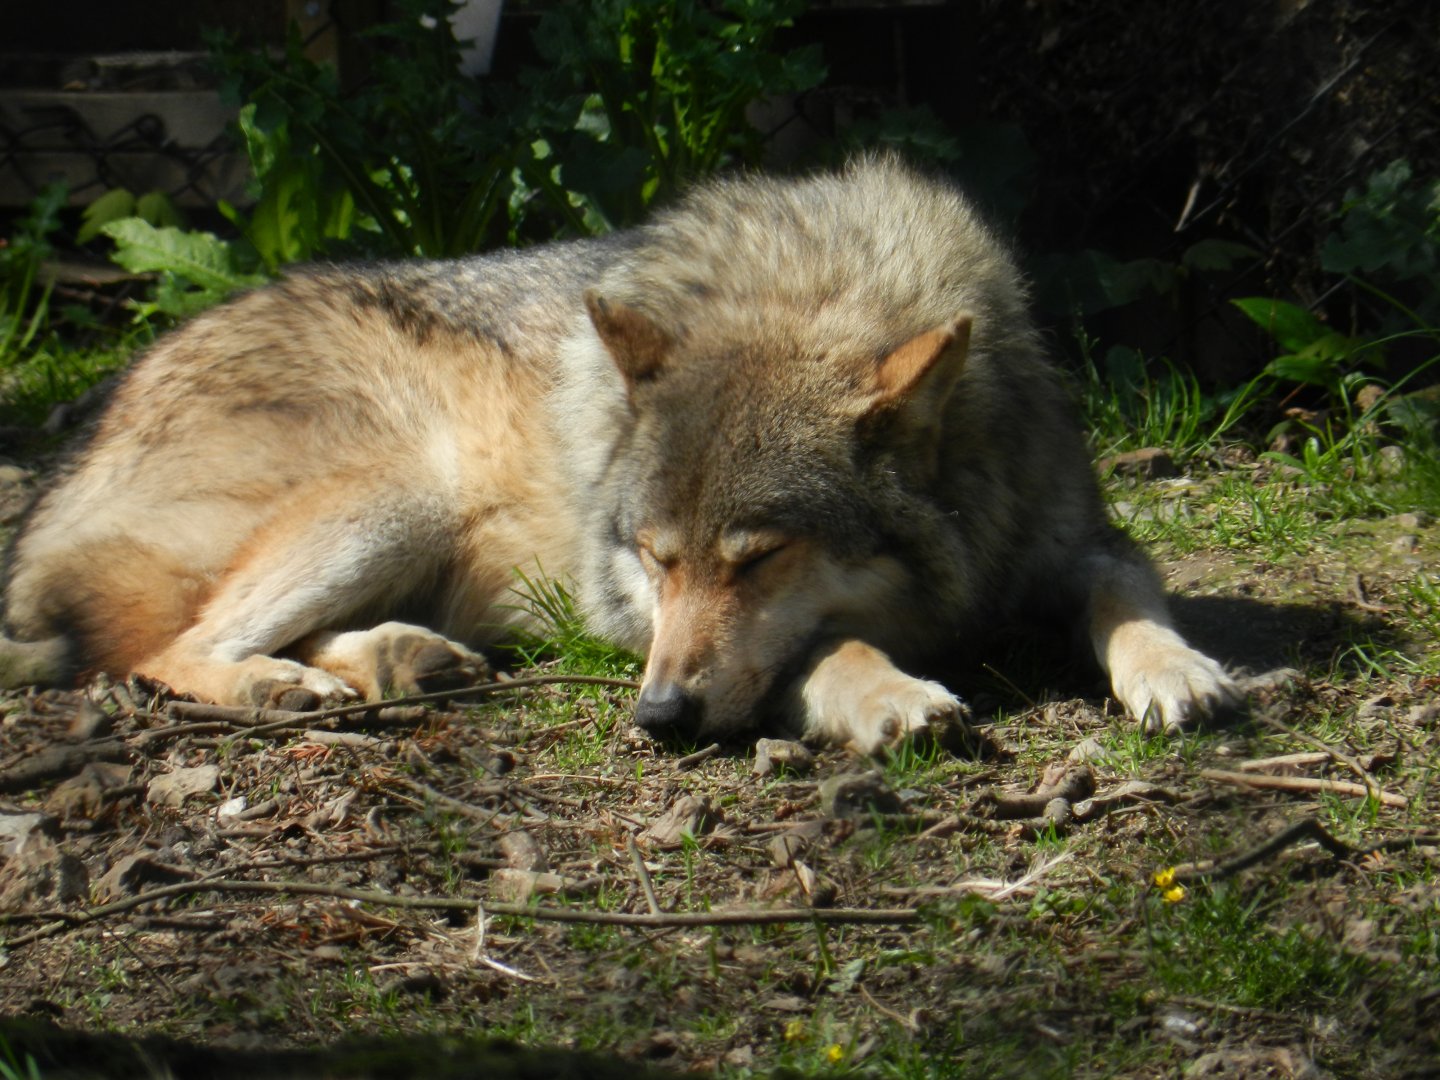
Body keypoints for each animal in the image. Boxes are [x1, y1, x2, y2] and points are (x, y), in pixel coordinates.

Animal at [0, 157, 1240, 752]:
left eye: (758, 558)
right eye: (654, 557)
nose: (657, 720)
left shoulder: (1074, 539)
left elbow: (1131, 594)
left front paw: (1176, 671)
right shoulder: (636, 614)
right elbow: (824, 648)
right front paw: (889, 692)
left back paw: (399, 660)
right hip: (399, 496)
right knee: (162, 650)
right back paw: (282, 685)